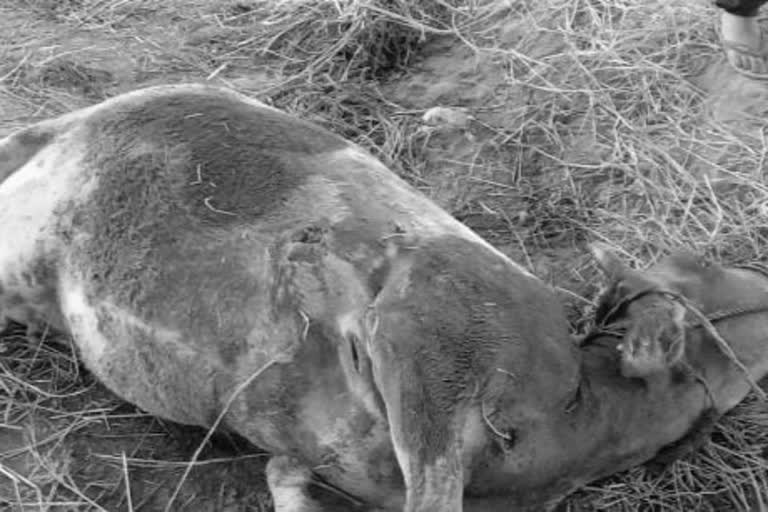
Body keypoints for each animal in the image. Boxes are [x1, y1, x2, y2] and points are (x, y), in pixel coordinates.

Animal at [0, 85, 764, 512]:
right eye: (695, 273)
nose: (759, 279)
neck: (572, 416)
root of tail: (66, 126)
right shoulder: (430, 321)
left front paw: (288, 474)